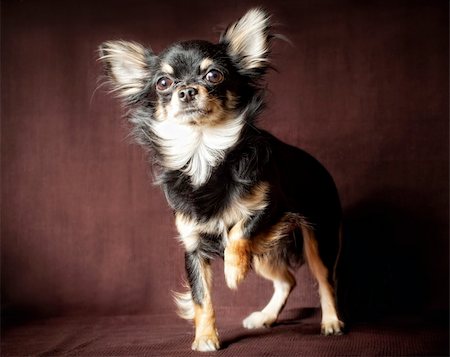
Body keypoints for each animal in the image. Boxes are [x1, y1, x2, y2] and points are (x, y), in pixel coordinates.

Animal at [99, 7, 344, 350]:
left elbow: (239, 232)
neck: (203, 151)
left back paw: (332, 322)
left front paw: (232, 271)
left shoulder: (271, 208)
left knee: (325, 280)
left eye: (213, 75)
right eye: (163, 82)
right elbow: (201, 299)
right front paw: (205, 338)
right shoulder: (193, 246)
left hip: (318, 237)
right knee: (288, 280)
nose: (186, 90)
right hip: (266, 254)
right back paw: (264, 317)